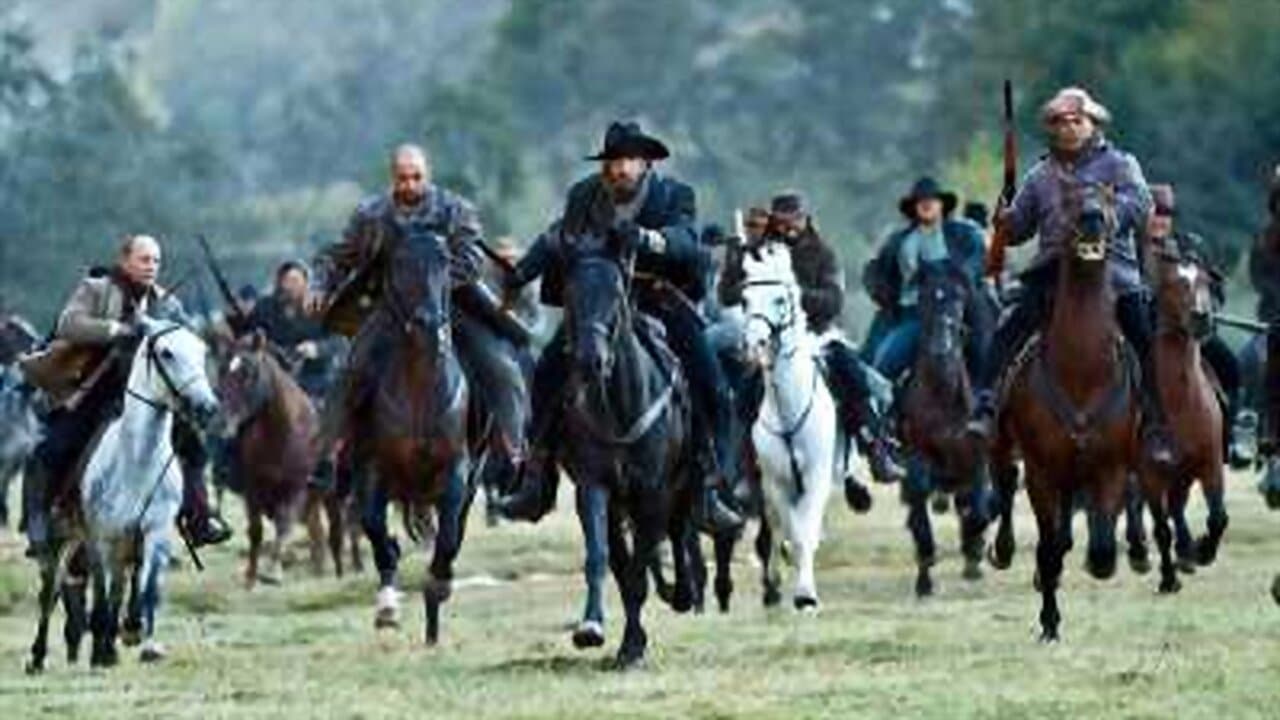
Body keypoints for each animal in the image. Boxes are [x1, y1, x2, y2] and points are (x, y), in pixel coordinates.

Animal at [737, 240, 844, 604]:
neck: (789, 411)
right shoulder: (776, 480)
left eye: (780, 299)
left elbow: (806, 531)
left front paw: (806, 594)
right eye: (745, 299)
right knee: (775, 524)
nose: (754, 344)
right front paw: (780, 581)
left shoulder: (817, 476)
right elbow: (786, 526)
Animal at [896, 265, 993, 594]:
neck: (942, 392)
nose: (942, 349)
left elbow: (978, 507)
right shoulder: (916, 455)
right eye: (924, 298)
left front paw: (975, 552)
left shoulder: (977, 455)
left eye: (959, 298)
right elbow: (919, 500)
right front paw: (925, 574)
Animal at [988, 185, 1141, 638]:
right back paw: (1002, 550)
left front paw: (1097, 562)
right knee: (1006, 487)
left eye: (1109, 198)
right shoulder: (1042, 472)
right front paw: (1049, 622)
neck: (1082, 372)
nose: (1092, 219)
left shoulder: (1111, 467)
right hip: (1003, 447)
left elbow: (1103, 548)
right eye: (1071, 199)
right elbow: (1048, 545)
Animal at [1141, 243, 1228, 591]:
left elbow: (1218, 517)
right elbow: (1161, 527)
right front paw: (1168, 579)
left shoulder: (1210, 464)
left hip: (1185, 475)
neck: (1183, 405)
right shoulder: (1151, 475)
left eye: (1205, 281)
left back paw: (1188, 553)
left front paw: (1203, 551)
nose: (1201, 318)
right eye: (1174, 284)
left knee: (1178, 508)